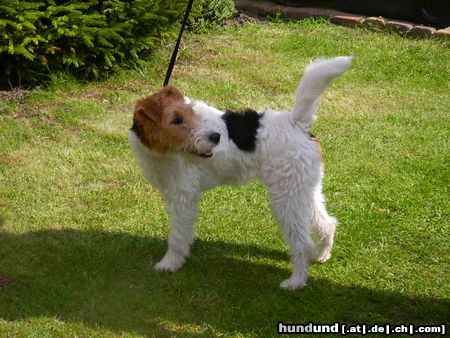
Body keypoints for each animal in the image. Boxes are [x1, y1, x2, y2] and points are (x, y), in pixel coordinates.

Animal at [128, 56, 354, 290]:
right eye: (176, 120)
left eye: (191, 114)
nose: (216, 137)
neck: (163, 152)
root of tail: (297, 122)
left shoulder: (183, 198)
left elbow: (177, 236)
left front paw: (170, 263)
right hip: (304, 189)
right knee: (327, 223)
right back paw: (322, 255)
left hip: (286, 198)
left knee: (302, 243)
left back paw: (295, 282)